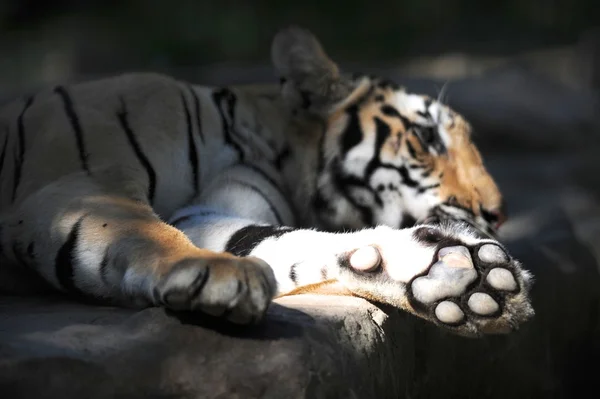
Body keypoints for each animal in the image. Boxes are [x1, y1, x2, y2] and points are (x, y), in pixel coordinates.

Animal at [0, 25, 536, 338]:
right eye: (427, 137)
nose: (498, 213)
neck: (259, 143)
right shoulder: (80, 180)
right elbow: (142, 230)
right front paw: (207, 272)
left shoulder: (207, 213)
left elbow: (278, 244)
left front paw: (455, 274)